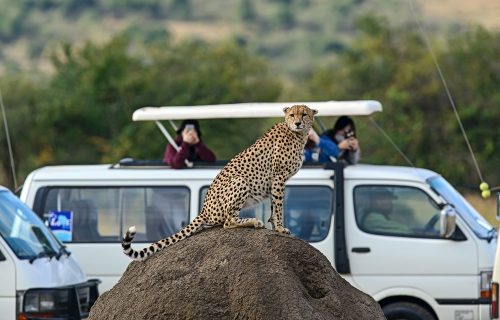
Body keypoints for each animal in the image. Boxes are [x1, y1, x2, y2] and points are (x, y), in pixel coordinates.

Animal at [122, 105, 316, 260]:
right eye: (292, 115)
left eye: (304, 114)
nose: (297, 123)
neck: (297, 135)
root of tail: (204, 209)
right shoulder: (278, 177)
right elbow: (279, 206)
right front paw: (281, 228)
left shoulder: (275, 181)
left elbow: (274, 207)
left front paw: (275, 226)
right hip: (240, 181)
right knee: (227, 222)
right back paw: (253, 221)